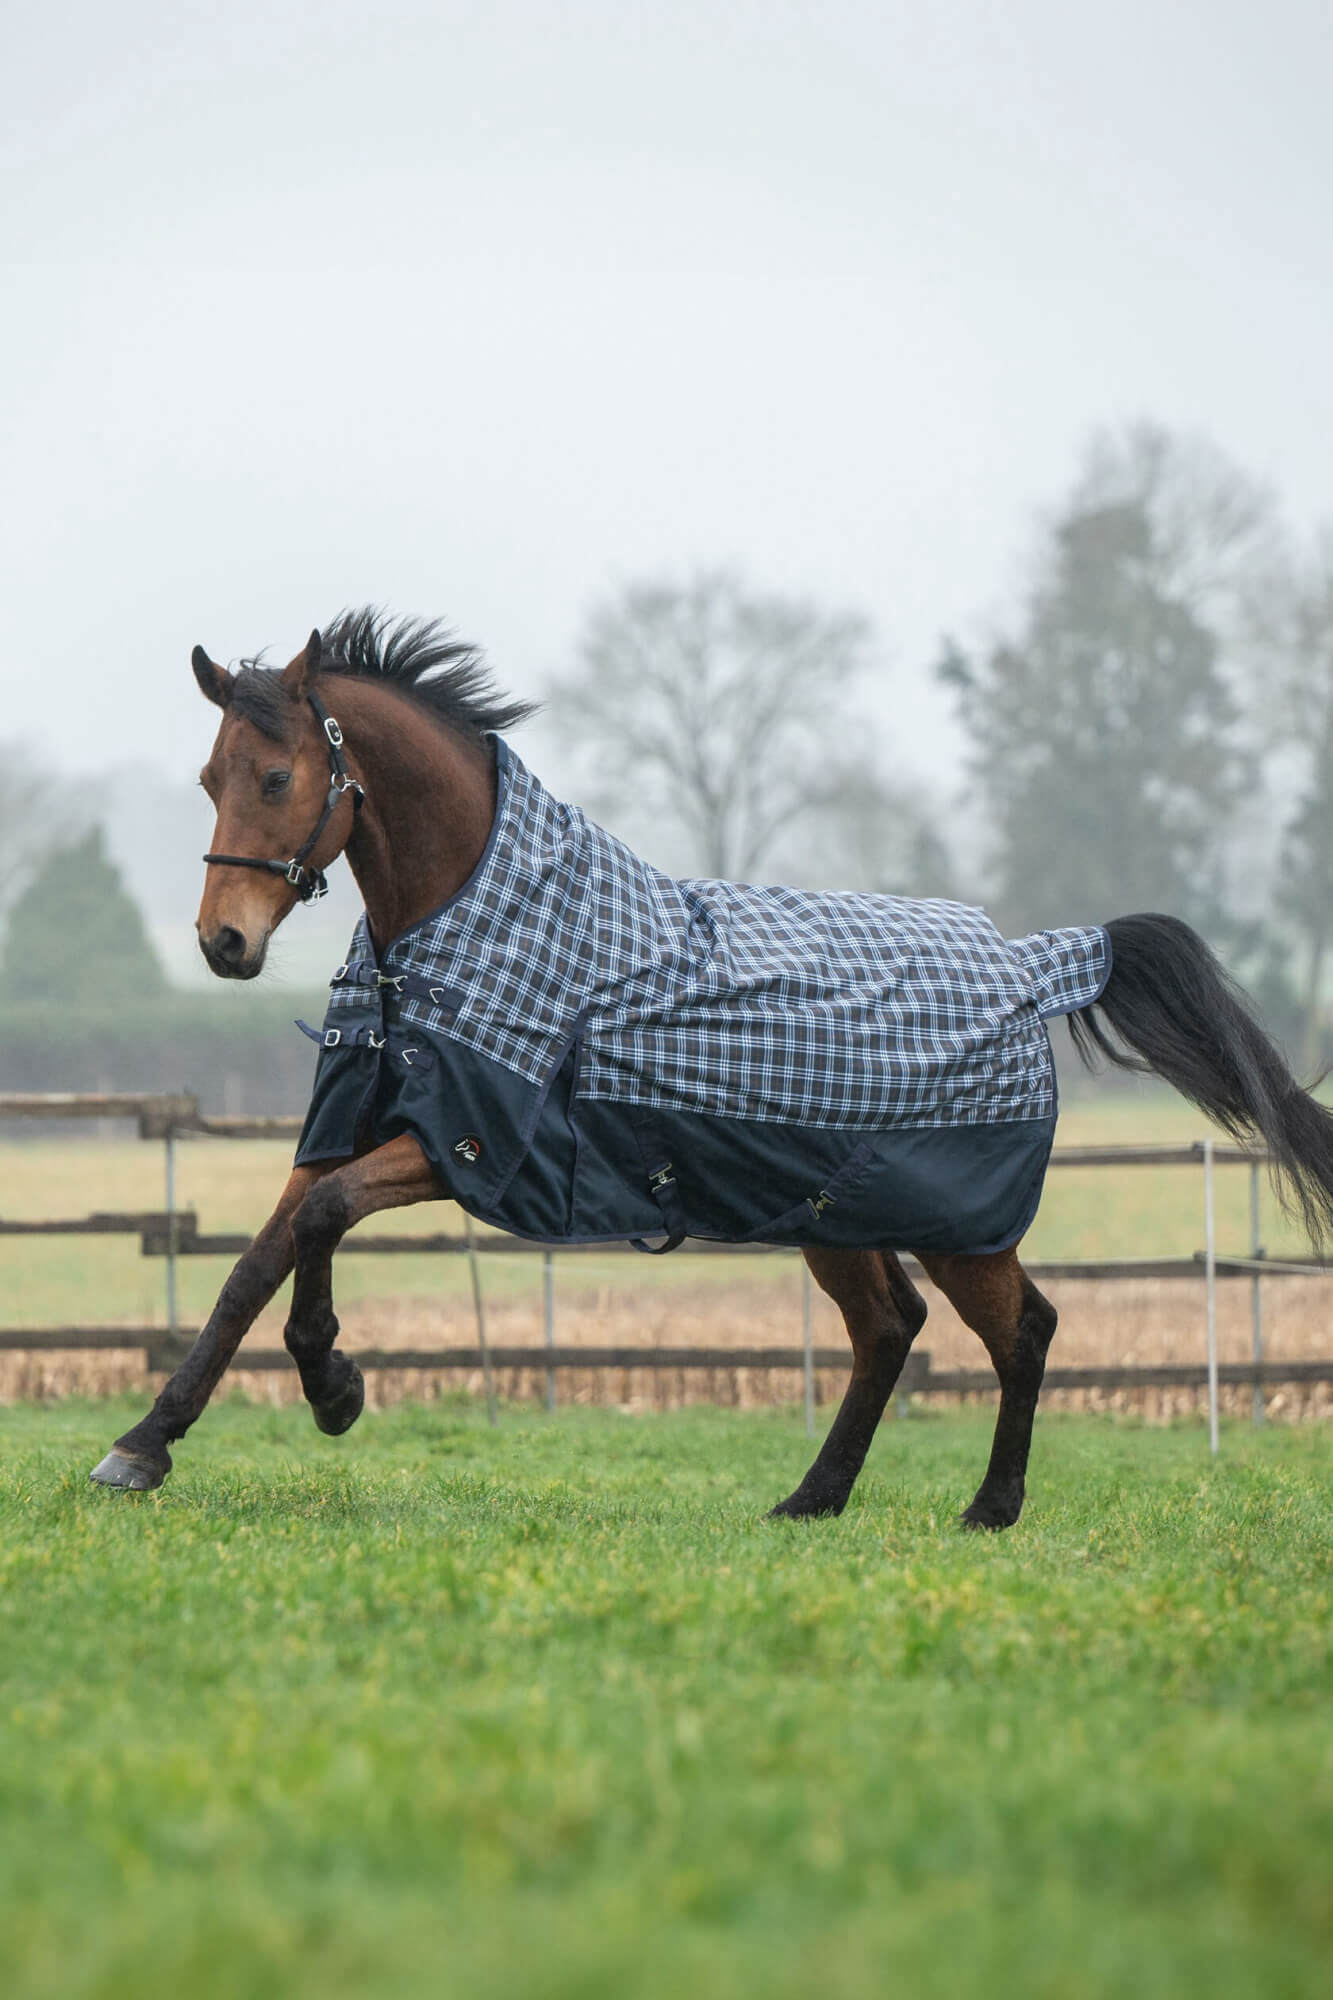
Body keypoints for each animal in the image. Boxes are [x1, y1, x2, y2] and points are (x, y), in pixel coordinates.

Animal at [90, 610, 1333, 1523]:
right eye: (208, 778)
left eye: (278, 775)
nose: (224, 943)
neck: (461, 926)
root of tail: (1037, 959)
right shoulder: (355, 1125)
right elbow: (254, 1263)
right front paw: (143, 1445)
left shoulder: (467, 1145)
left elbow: (321, 1222)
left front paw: (335, 1388)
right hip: (837, 1213)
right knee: (889, 1329)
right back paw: (810, 1499)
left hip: (956, 1220)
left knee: (1022, 1330)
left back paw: (989, 1507)